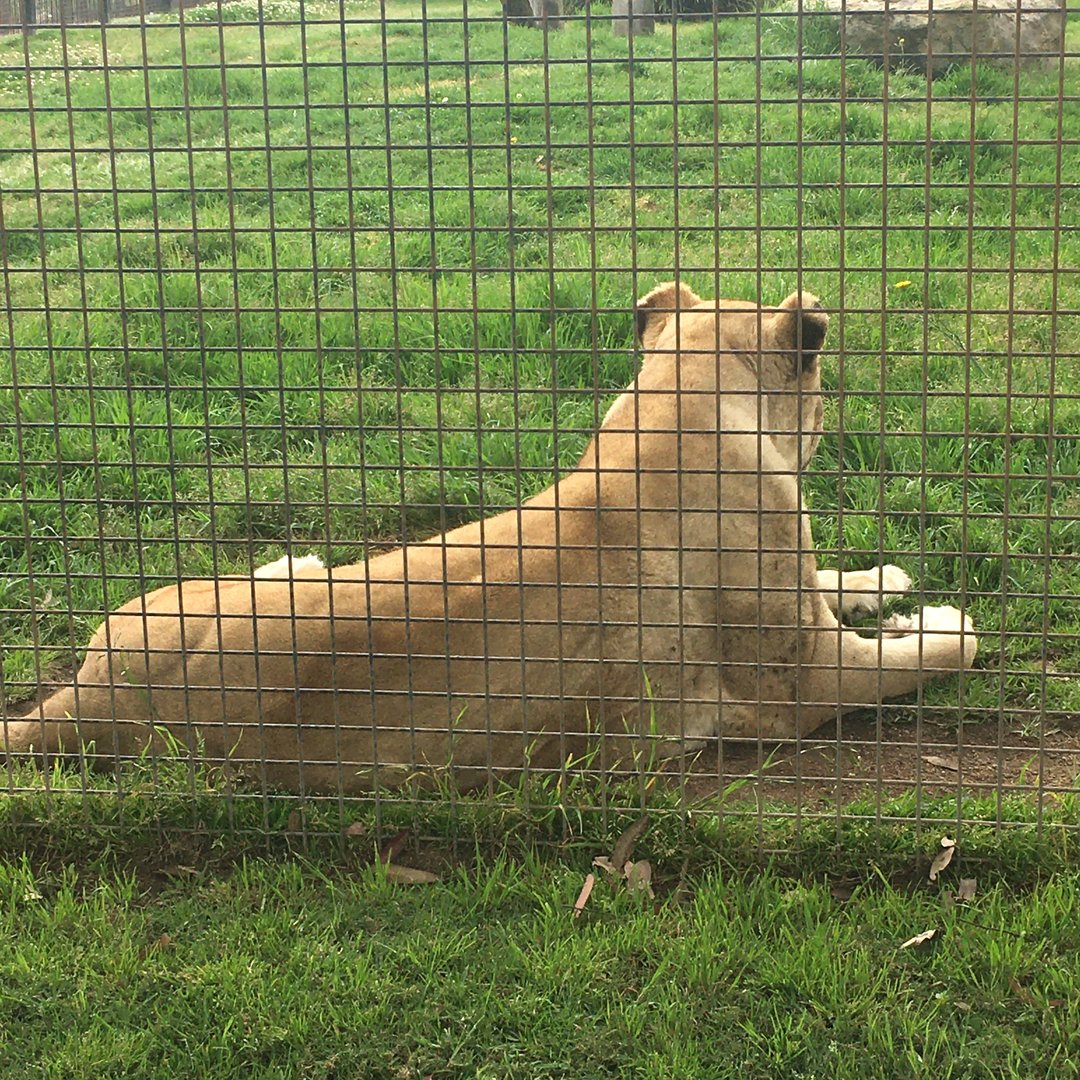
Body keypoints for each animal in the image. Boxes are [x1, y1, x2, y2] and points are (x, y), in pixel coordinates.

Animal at [4, 284, 977, 792]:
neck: (678, 413)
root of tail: (85, 703)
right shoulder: (792, 689)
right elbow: (945, 652)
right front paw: (936, 620)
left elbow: (845, 579)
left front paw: (887, 581)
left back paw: (297, 558)